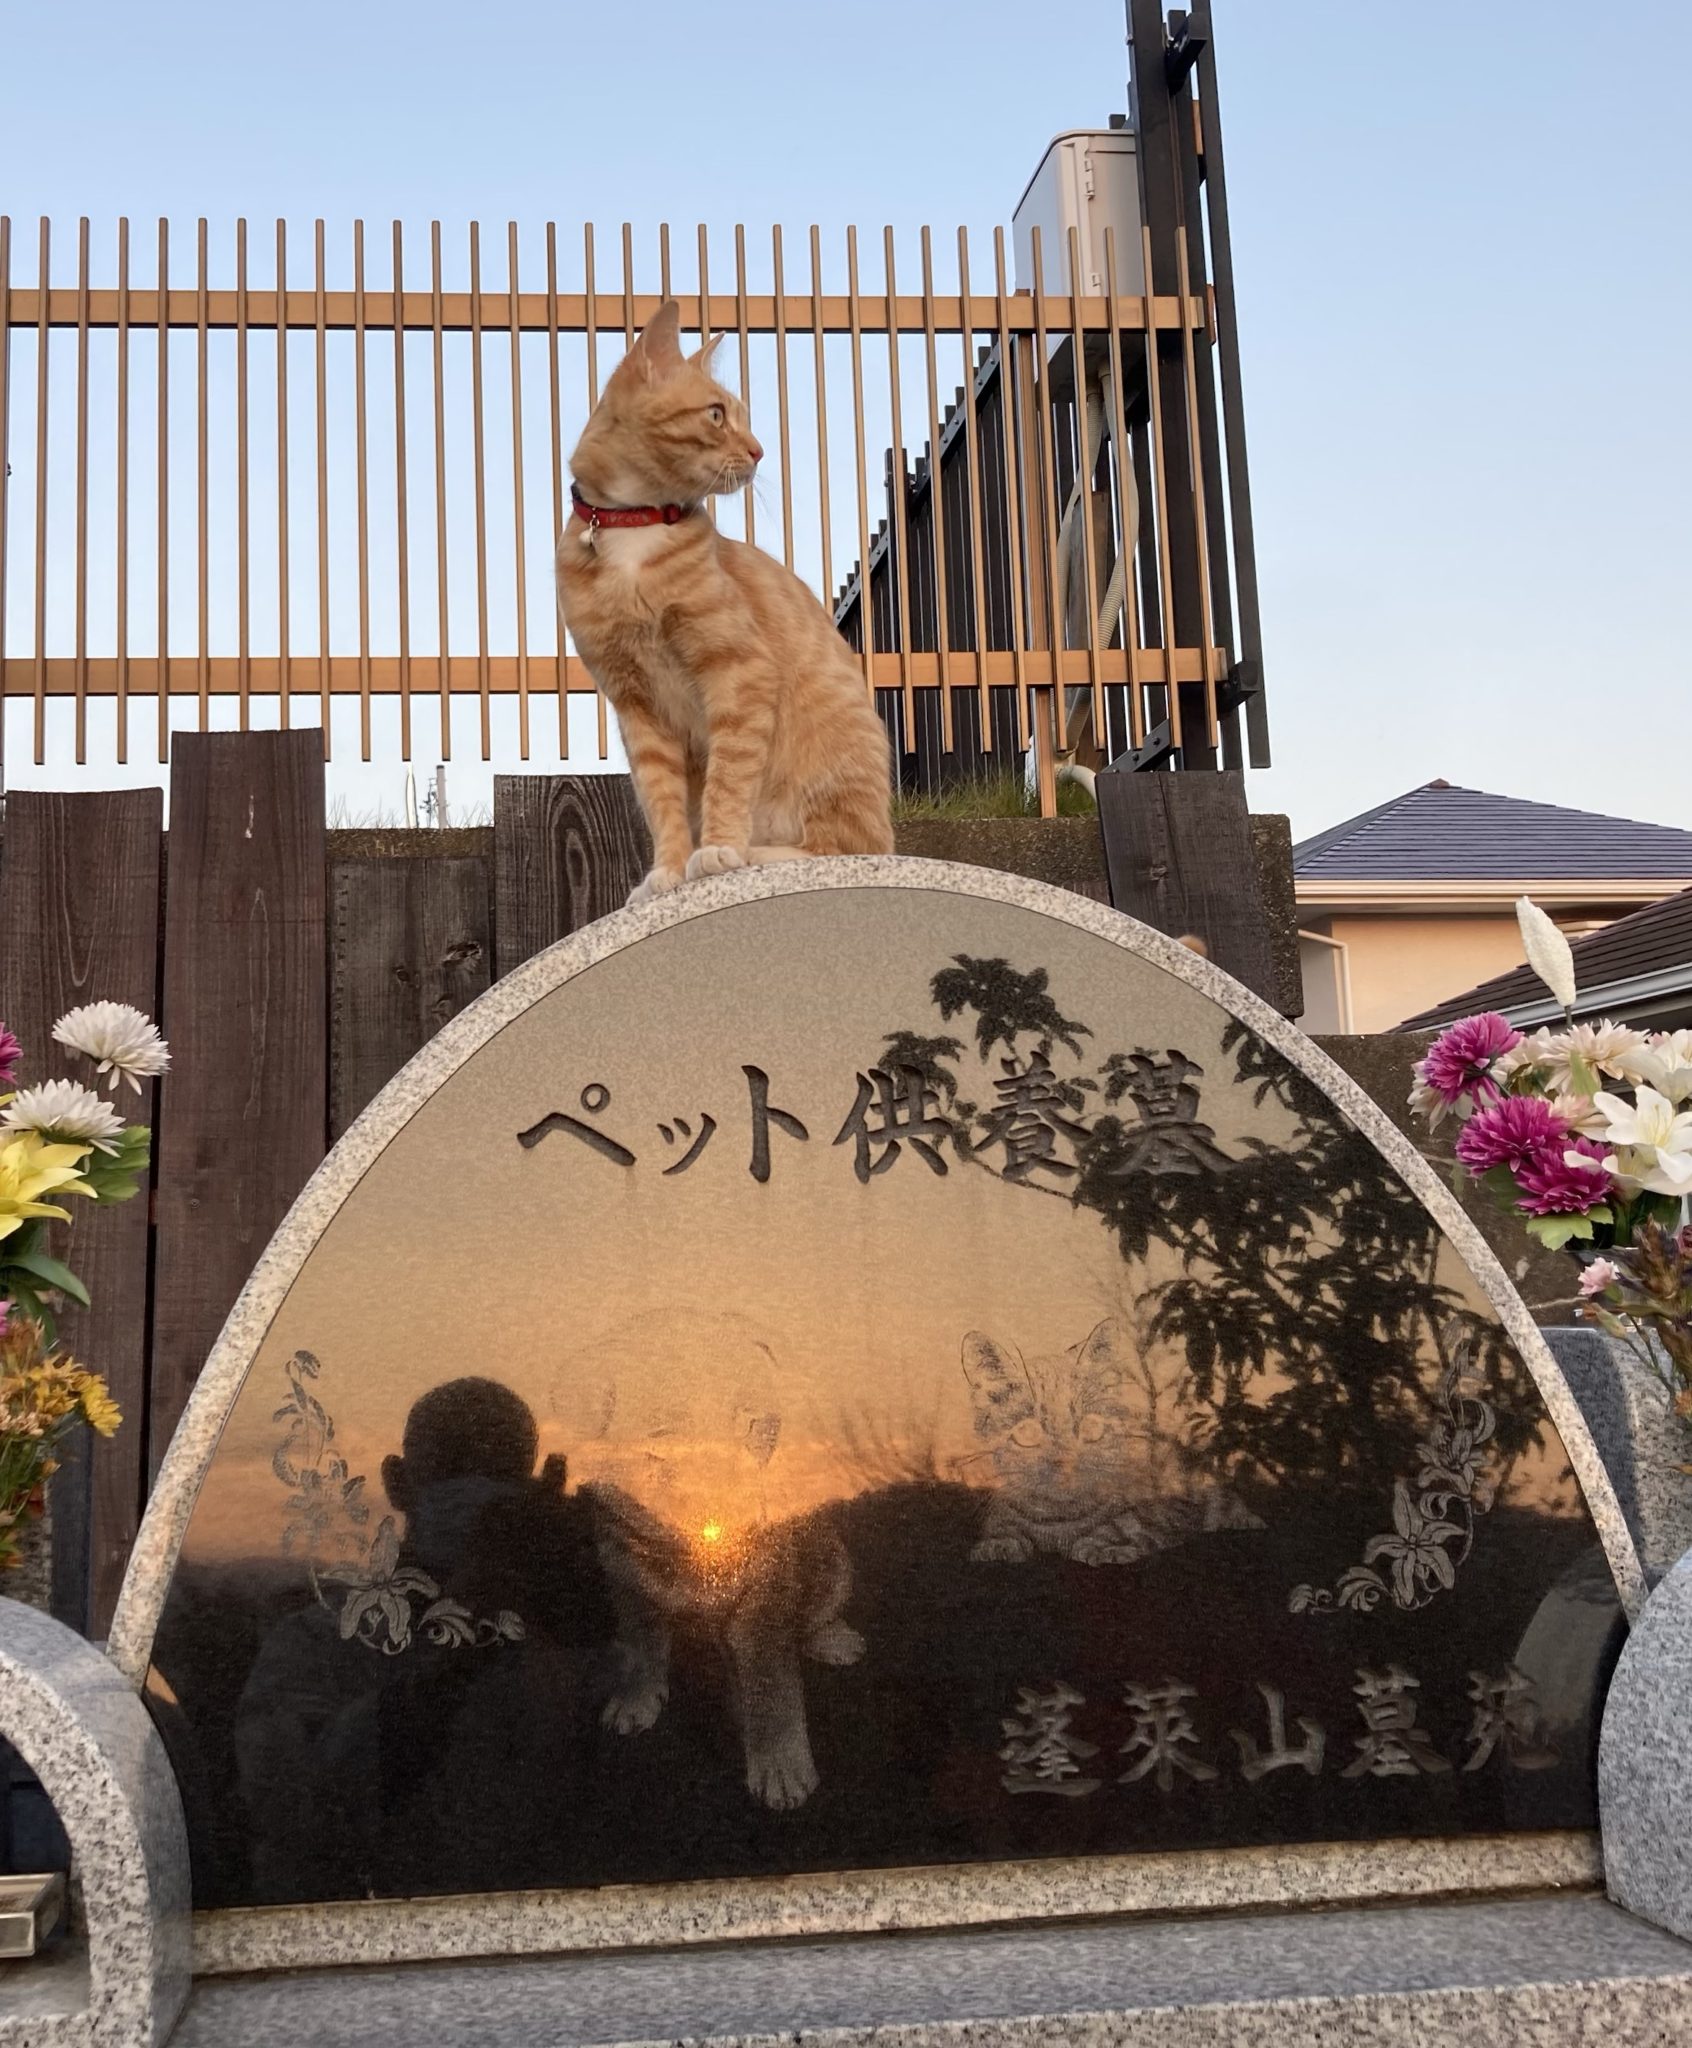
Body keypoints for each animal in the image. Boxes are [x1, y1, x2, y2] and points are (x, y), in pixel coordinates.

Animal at [557, 301, 894, 907]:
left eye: (740, 417)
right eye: (716, 415)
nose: (759, 450)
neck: (633, 532)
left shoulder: (740, 672)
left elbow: (728, 778)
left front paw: (716, 849)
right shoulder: (636, 705)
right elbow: (661, 800)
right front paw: (667, 871)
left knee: (844, 850)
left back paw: (756, 852)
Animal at [580, 1481, 863, 1812]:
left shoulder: (767, 1581)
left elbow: (771, 1682)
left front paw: (780, 1761)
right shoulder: (622, 1557)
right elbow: (640, 1641)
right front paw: (635, 1696)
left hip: (832, 1561)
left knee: (816, 1612)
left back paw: (832, 1638)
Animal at [957, 1318, 1262, 1564]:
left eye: (1091, 1428)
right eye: (1027, 1432)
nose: (1064, 1461)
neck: (1057, 1520)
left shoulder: (1161, 1513)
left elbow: (1122, 1524)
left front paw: (1104, 1544)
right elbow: (1003, 1523)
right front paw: (999, 1542)